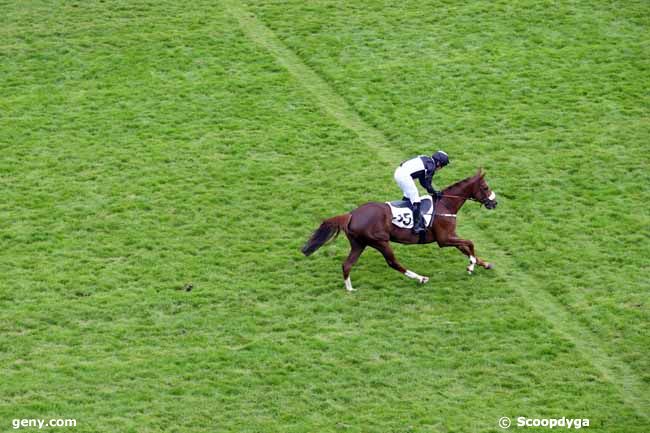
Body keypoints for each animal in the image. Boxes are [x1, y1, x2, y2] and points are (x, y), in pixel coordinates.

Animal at [302, 169, 496, 290]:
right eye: (485, 187)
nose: (494, 203)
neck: (446, 204)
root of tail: (351, 214)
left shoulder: (450, 235)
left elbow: (465, 247)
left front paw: (484, 264)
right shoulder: (444, 239)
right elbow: (470, 243)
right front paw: (471, 266)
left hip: (359, 244)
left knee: (347, 264)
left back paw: (350, 289)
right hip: (380, 241)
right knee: (393, 262)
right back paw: (421, 278)